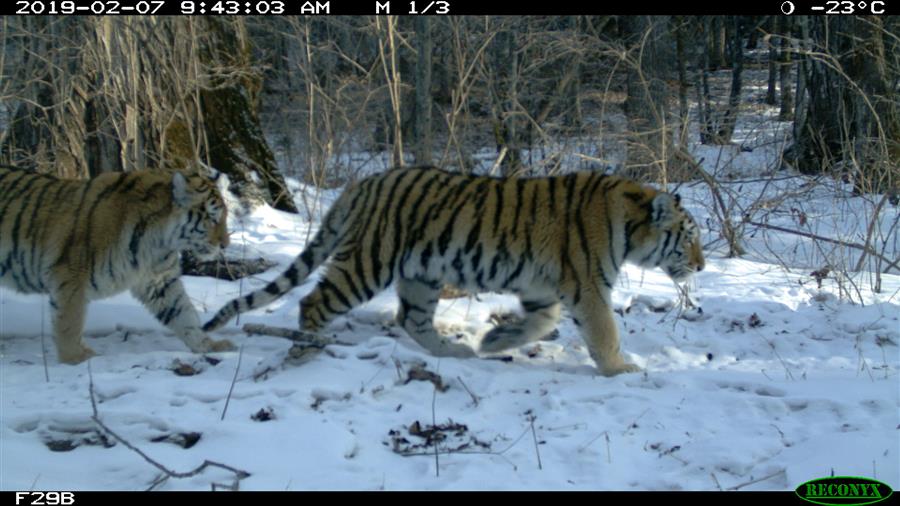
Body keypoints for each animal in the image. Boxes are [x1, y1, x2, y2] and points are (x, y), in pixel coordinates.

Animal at [0, 165, 236, 364]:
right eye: (212, 218)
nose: (225, 245)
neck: (161, 240)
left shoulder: (159, 280)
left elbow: (184, 313)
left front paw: (209, 345)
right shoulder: (71, 275)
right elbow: (69, 320)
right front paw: (75, 359)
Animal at [204, 166, 704, 376]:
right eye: (690, 236)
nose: (702, 264)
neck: (630, 221)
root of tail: (362, 184)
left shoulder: (542, 286)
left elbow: (543, 320)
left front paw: (494, 340)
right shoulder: (588, 286)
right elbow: (604, 331)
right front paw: (623, 369)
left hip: (420, 274)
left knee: (412, 319)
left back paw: (456, 352)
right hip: (370, 260)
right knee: (314, 301)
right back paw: (304, 352)